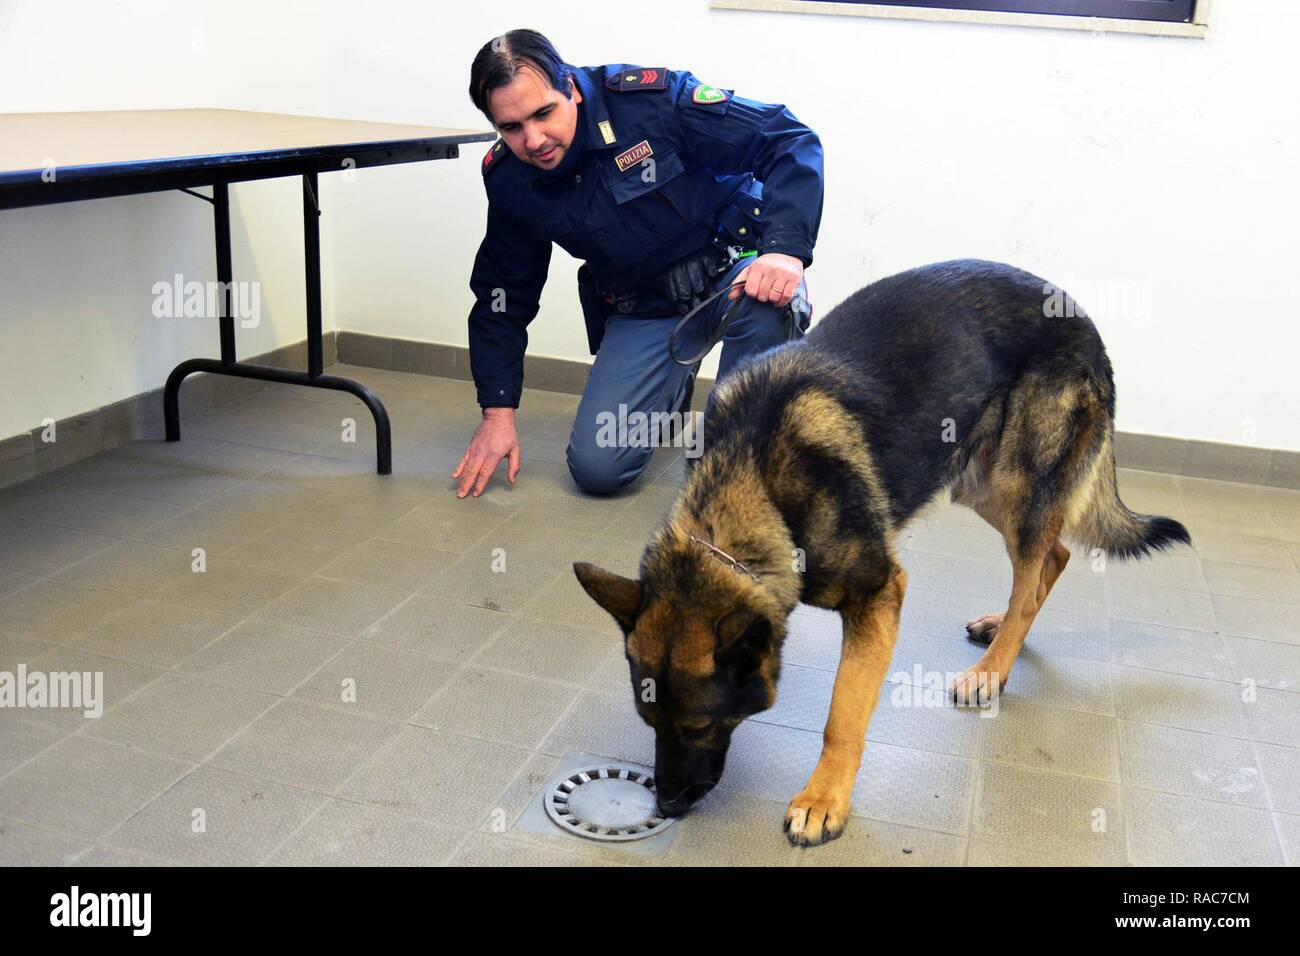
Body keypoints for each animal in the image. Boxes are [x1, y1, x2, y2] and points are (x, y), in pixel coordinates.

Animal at [574, 260, 1190, 842]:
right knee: (1051, 559)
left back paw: (992, 670)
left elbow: (842, 713)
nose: (666, 806)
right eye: (649, 721)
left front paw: (823, 800)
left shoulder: (878, 594)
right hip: (978, 481)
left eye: (698, 728)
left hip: (1017, 484)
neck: (755, 479)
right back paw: (1002, 633)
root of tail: (1080, 316)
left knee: (1035, 567)